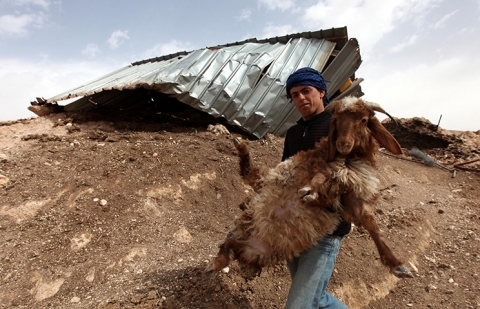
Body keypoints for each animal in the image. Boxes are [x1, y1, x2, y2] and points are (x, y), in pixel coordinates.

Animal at [206, 96, 412, 280]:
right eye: (336, 119)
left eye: (363, 120)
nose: (343, 144)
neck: (347, 159)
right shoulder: (317, 169)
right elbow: (320, 178)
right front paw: (311, 192)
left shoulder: (351, 199)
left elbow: (371, 225)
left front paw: (398, 267)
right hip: (268, 182)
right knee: (250, 174)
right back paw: (240, 145)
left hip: (258, 251)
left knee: (231, 244)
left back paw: (218, 262)